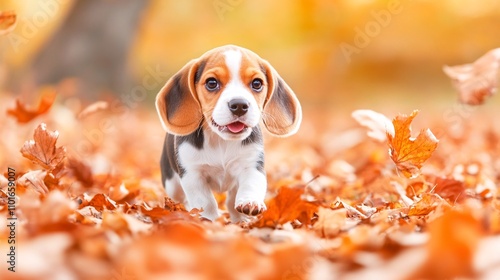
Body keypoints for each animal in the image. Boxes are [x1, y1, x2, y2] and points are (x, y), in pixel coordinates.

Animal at [155, 44, 300, 222]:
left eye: (257, 83)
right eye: (211, 83)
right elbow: (206, 201)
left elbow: (250, 186)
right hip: (172, 185)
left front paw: (249, 204)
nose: (239, 105)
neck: (221, 141)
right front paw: (208, 219)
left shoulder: (252, 165)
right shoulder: (193, 174)